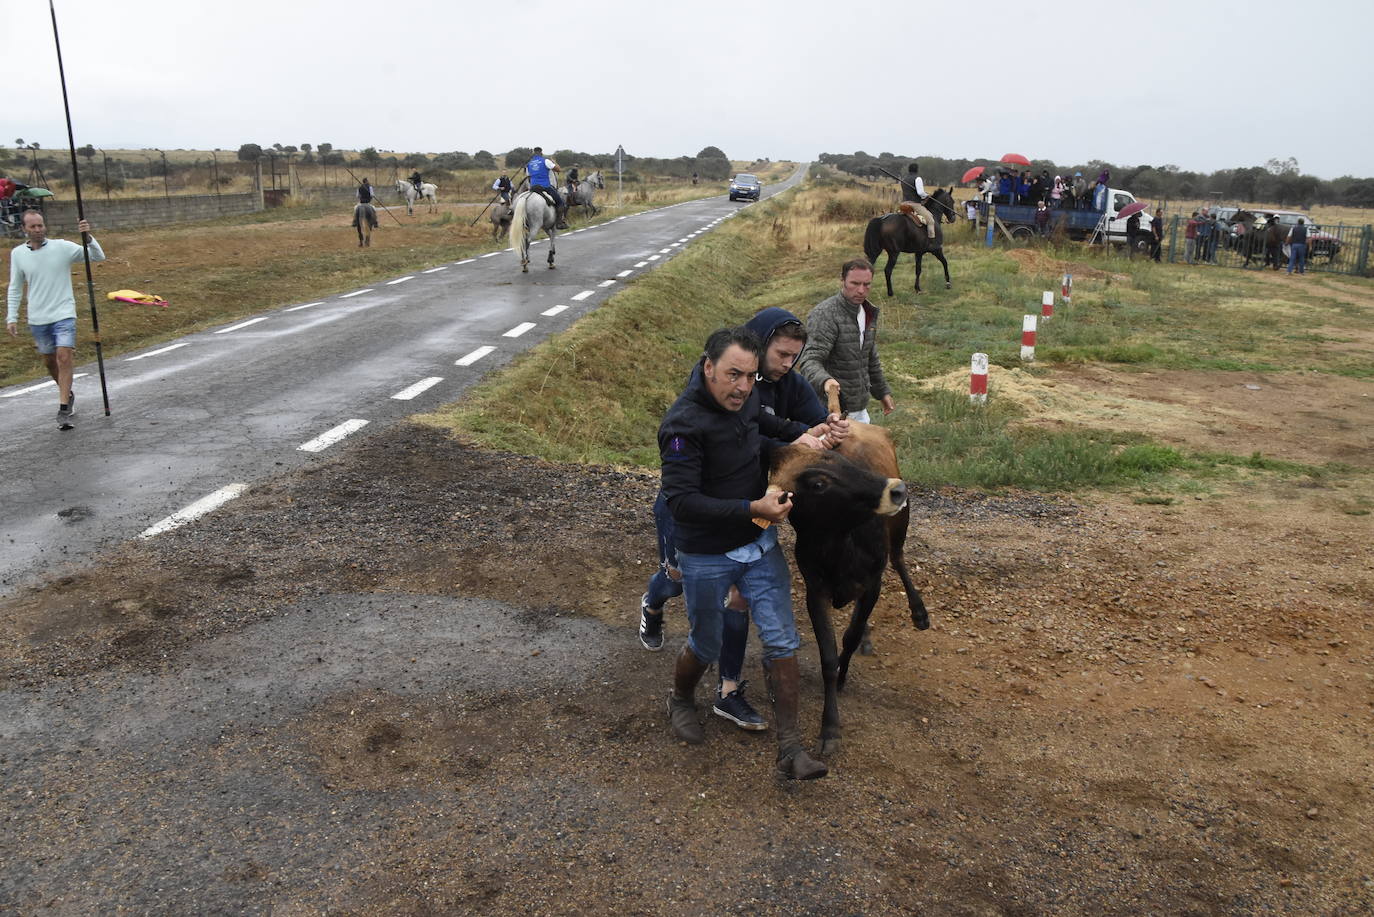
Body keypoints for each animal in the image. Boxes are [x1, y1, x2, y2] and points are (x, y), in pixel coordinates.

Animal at [769, 420, 928, 758]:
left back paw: (919, 612)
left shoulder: (872, 585)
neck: (839, 543)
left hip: (901, 525)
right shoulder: (815, 591)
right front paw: (830, 728)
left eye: (846, 464)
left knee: (899, 559)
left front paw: (844, 673)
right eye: (818, 483)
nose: (897, 490)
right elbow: (828, 657)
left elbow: (850, 638)